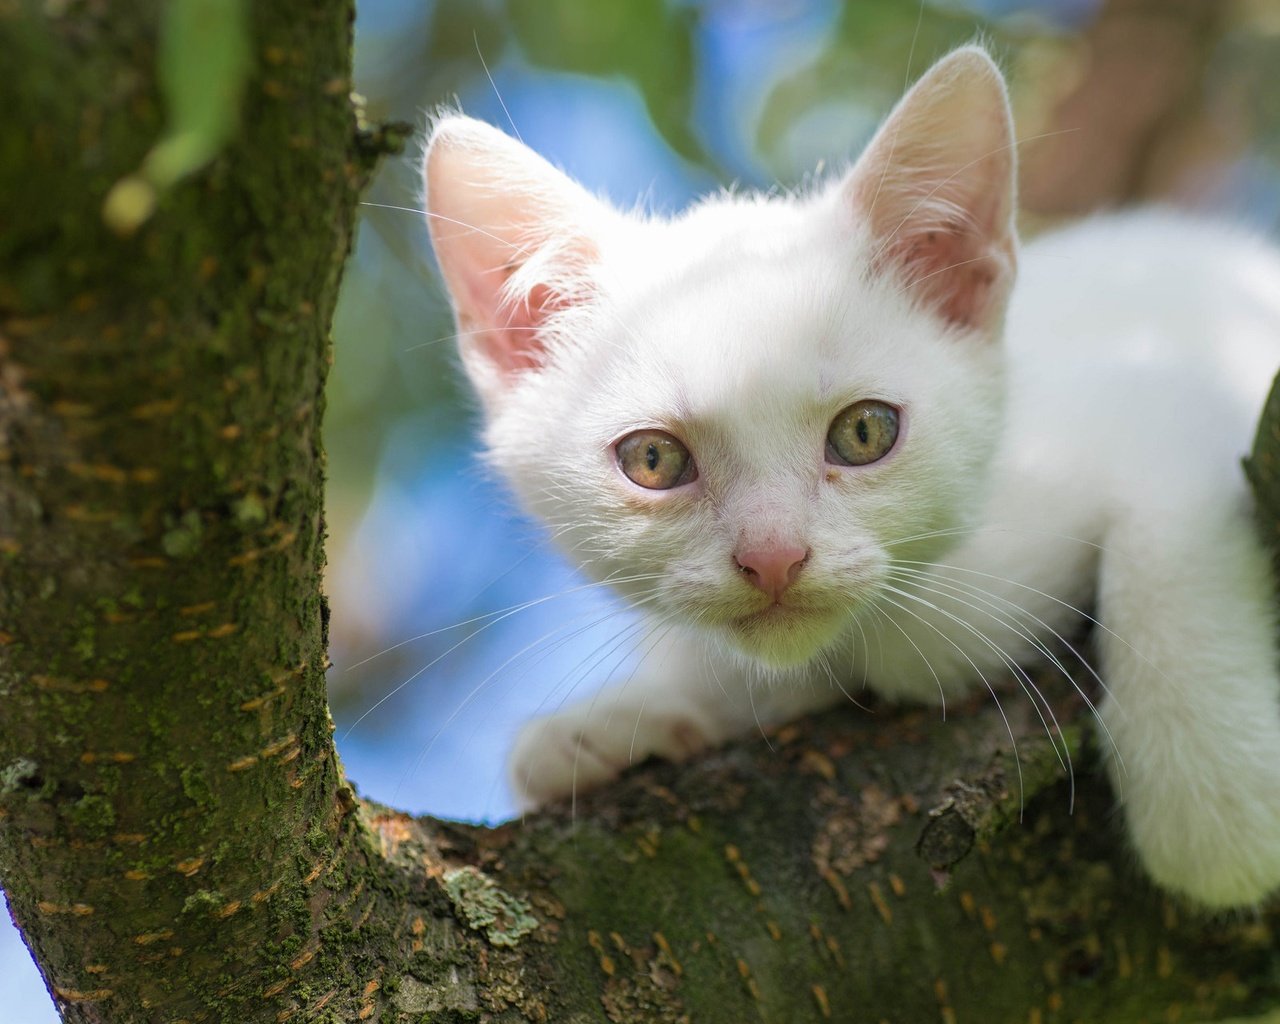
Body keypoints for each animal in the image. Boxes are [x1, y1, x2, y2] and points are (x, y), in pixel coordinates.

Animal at [424, 46, 1280, 906]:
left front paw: (1215, 780)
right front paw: (618, 722)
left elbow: (1167, 520)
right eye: (654, 460)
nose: (773, 557)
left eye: (864, 432)